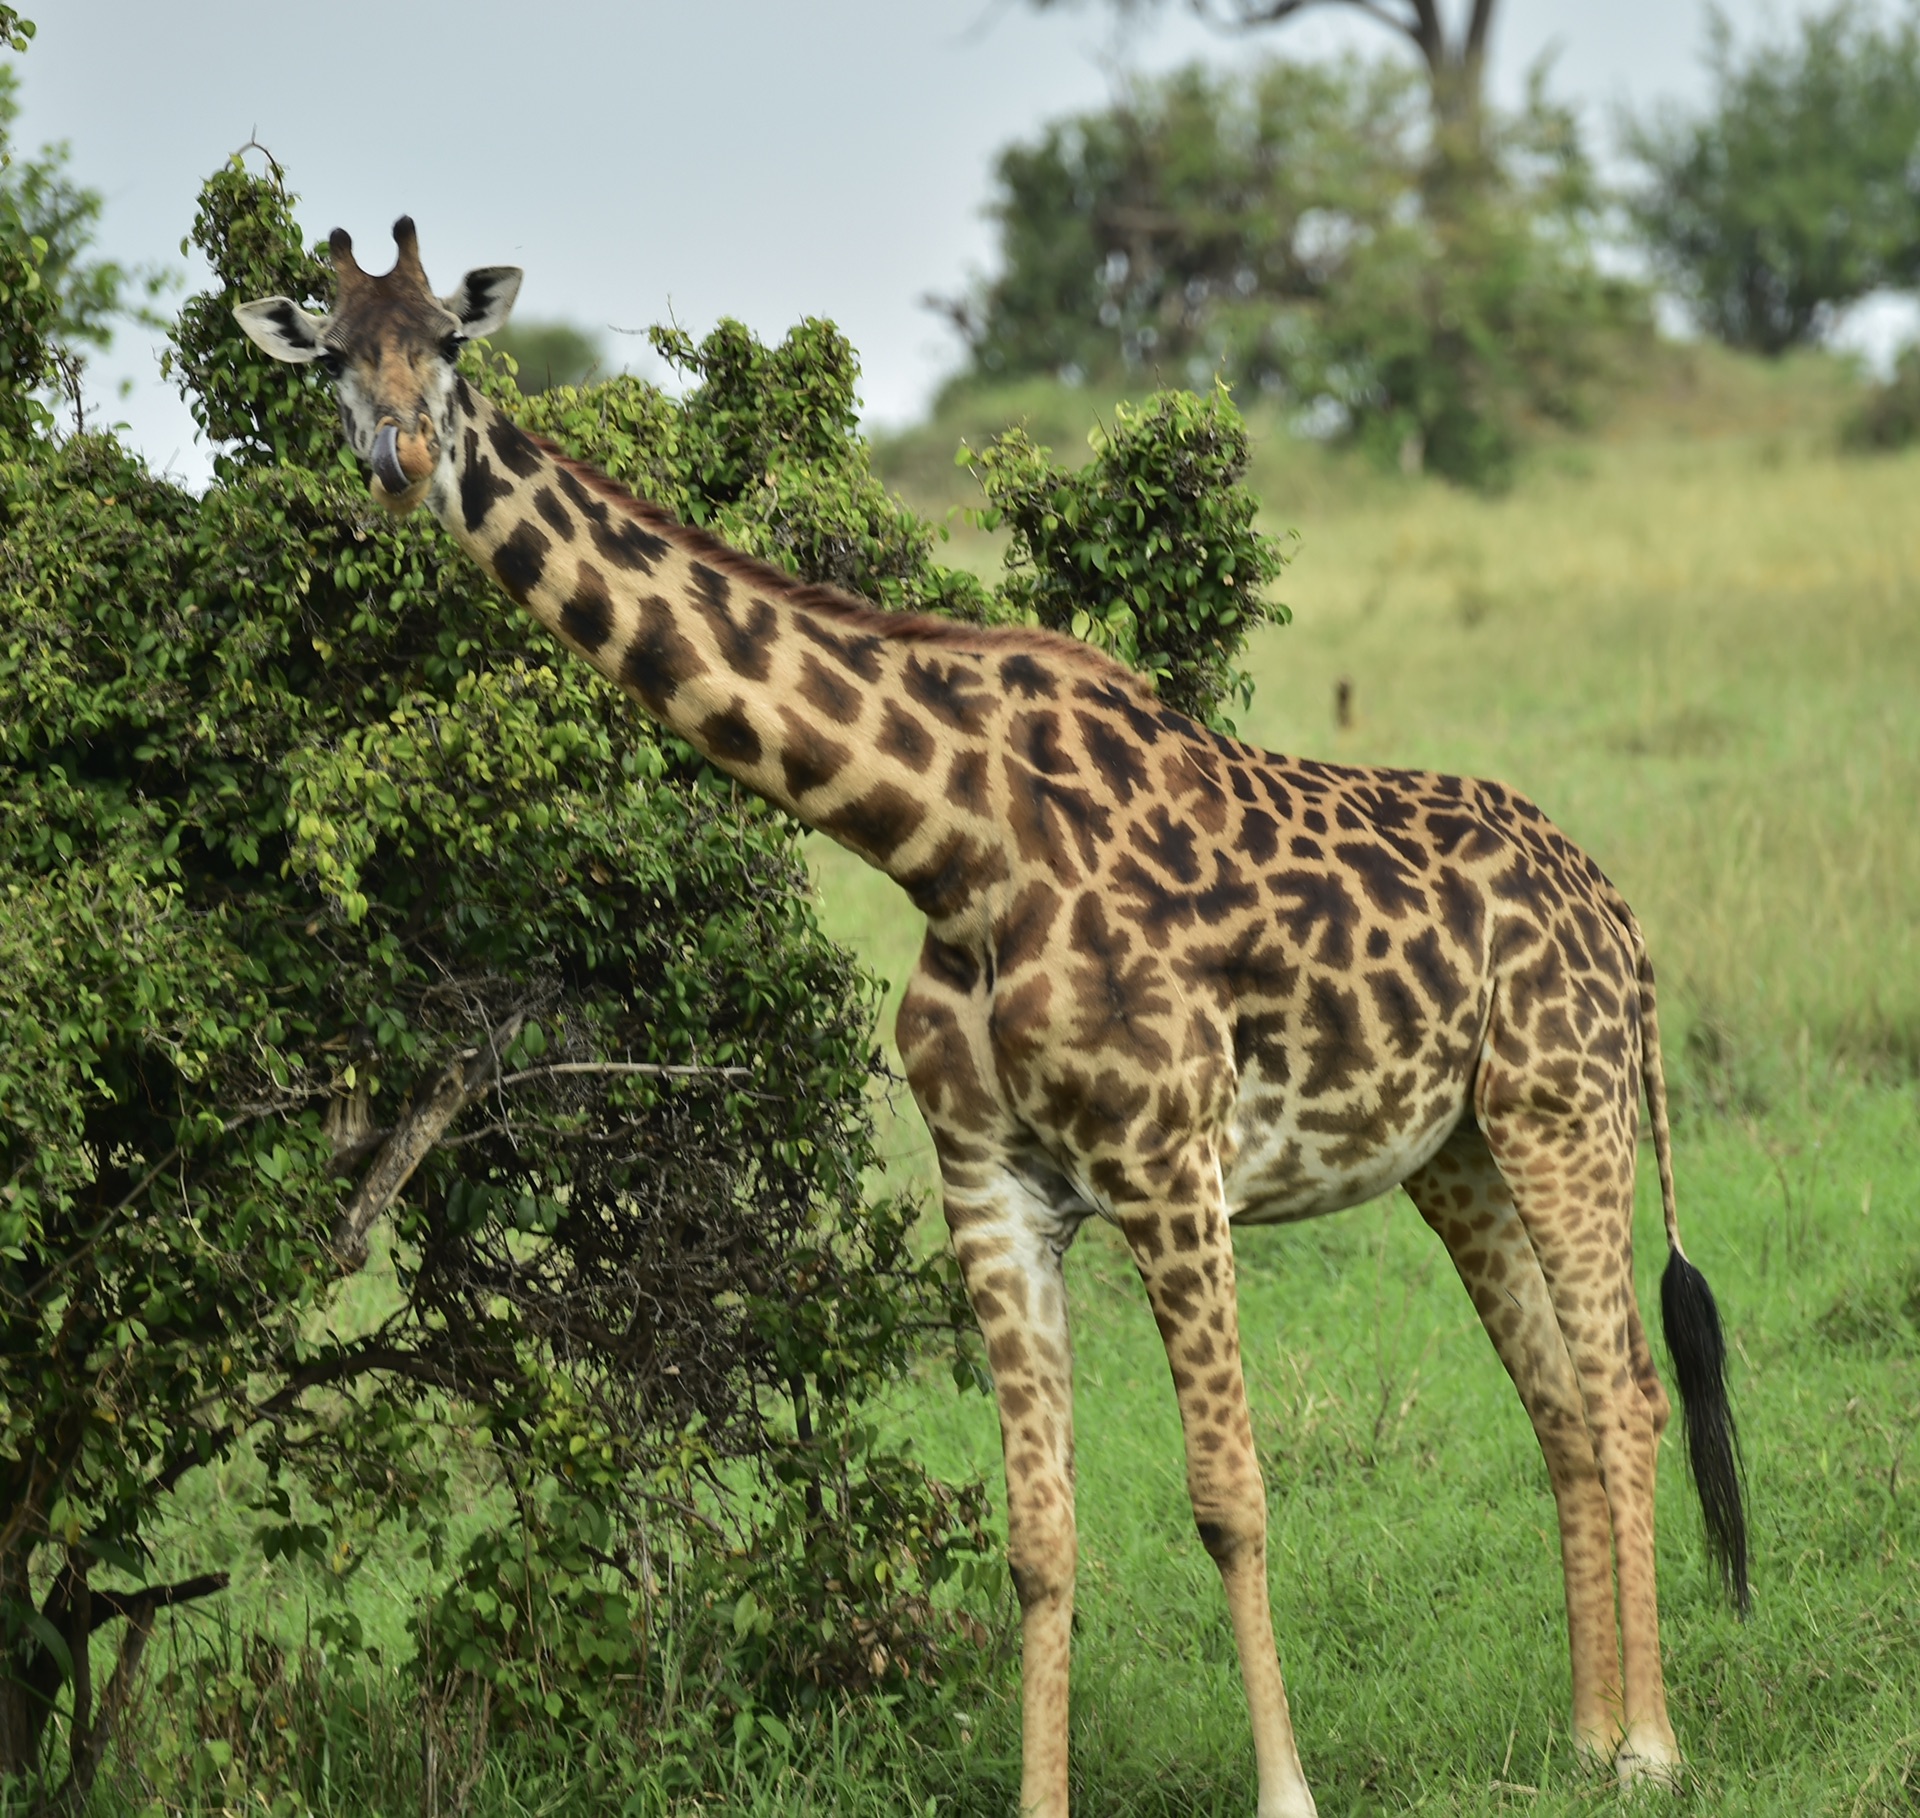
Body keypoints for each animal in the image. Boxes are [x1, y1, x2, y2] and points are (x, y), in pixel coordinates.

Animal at [232, 220, 1751, 1812]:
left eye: (447, 346)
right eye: (331, 357)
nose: (401, 461)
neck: (950, 840)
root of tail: (1622, 918)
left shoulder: (1168, 1166)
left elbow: (1230, 1497)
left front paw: (1286, 1790)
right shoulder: (995, 1185)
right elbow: (1037, 1538)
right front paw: (1043, 1794)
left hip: (1567, 1108)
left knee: (1627, 1390)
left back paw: (1651, 1747)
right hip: (1456, 1151)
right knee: (1561, 1403)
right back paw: (1582, 1736)